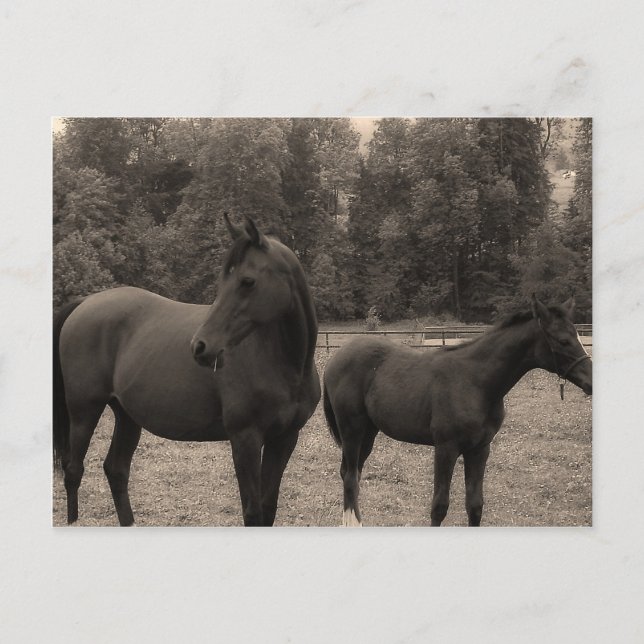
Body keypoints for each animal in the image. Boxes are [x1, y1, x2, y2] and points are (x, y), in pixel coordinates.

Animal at [53, 214, 321, 527]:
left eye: (247, 281)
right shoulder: (246, 439)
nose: (200, 346)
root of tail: (84, 303)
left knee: (115, 470)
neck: (285, 364)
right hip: (84, 412)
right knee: (74, 471)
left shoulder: (285, 438)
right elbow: (253, 513)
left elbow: (268, 509)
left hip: (127, 416)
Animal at [323, 295, 592, 527]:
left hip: (369, 431)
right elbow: (439, 506)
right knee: (350, 477)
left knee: (350, 472)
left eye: (578, 336)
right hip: (352, 429)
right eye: (563, 340)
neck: (475, 382)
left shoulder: (480, 449)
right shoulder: (446, 448)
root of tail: (336, 358)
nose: (591, 380)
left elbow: (475, 505)